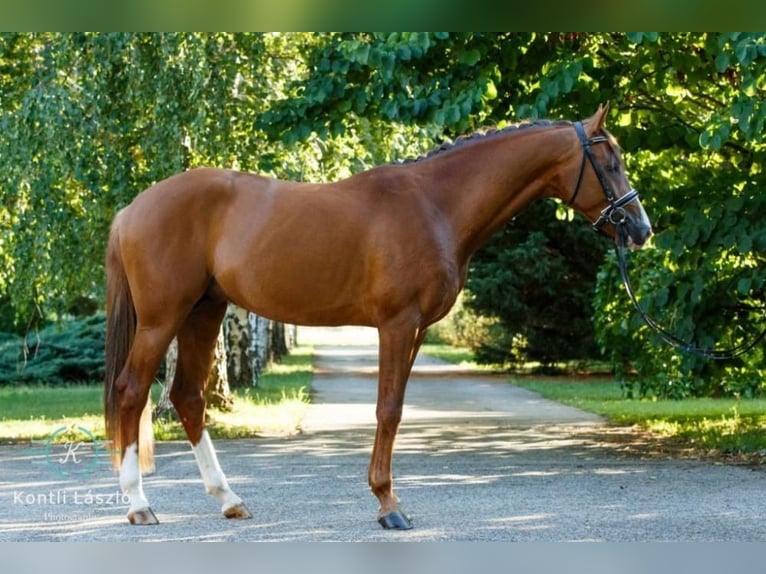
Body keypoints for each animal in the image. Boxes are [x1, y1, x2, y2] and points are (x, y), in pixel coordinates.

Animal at [102, 104, 656, 532]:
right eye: (610, 161)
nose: (641, 229)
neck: (434, 205)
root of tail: (132, 209)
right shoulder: (397, 323)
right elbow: (387, 410)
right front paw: (389, 505)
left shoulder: (417, 331)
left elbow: (397, 408)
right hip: (163, 318)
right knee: (132, 391)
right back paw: (139, 505)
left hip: (204, 311)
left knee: (188, 397)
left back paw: (229, 499)